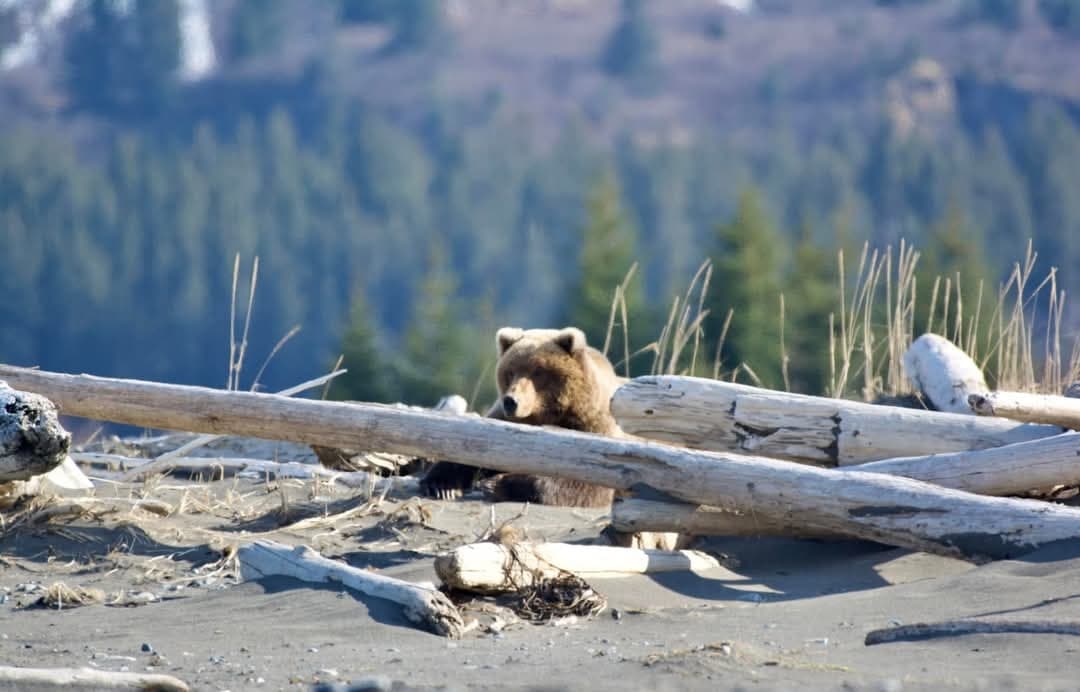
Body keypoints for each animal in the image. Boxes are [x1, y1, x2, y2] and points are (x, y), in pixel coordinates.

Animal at [419, 326, 622, 508]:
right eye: (510, 371)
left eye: (539, 371)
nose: (511, 401)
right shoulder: (502, 423)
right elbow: (469, 450)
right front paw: (440, 485)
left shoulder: (591, 428)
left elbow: (586, 481)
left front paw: (497, 483)